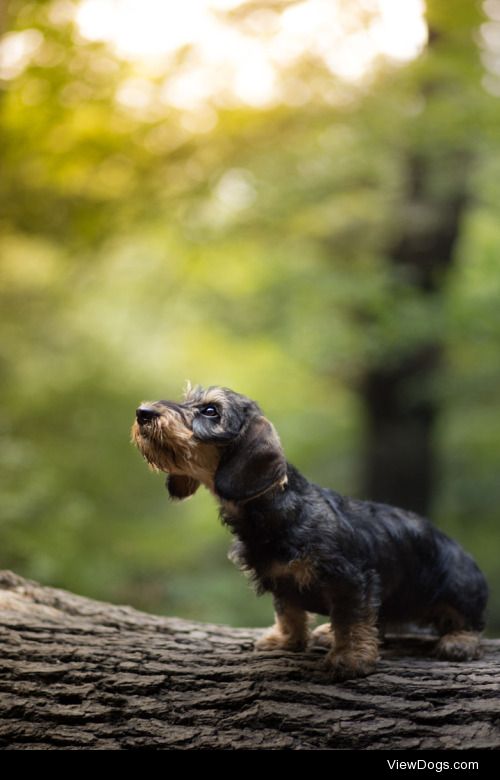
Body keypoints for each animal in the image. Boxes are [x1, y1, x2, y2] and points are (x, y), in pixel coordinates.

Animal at [132, 386, 488, 680]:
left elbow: (352, 620)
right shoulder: (280, 581)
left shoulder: (351, 579)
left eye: (210, 411)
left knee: (468, 621)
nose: (143, 412)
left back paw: (458, 641)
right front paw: (286, 640)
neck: (275, 508)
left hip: (459, 587)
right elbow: (289, 611)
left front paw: (350, 658)